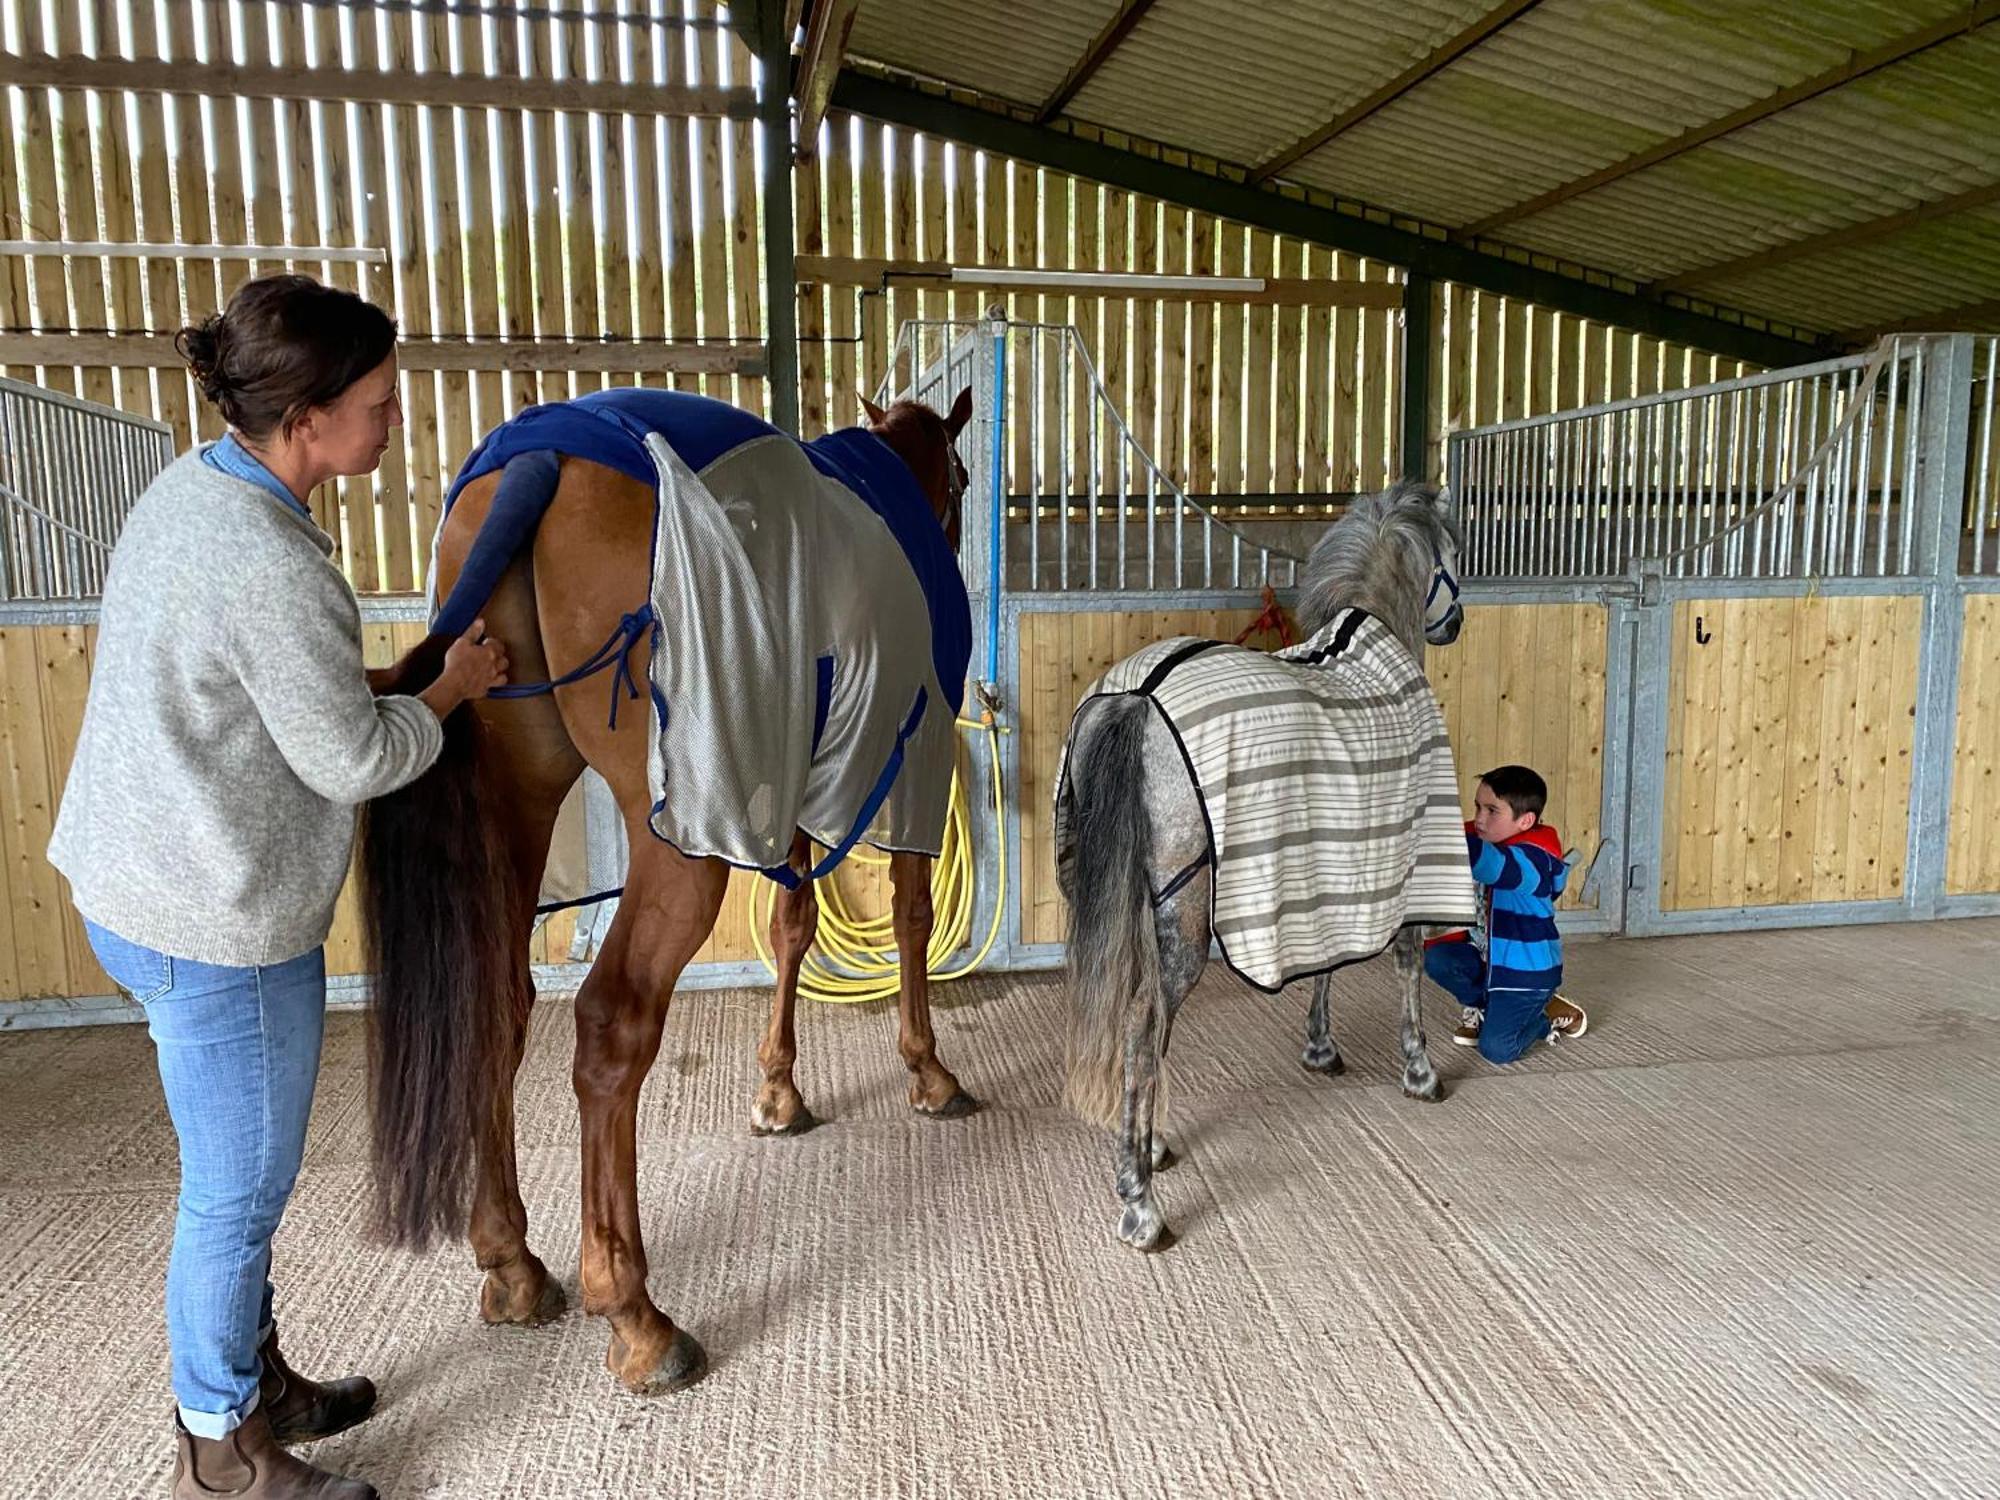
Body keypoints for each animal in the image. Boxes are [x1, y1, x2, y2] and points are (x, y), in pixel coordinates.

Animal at [368, 388, 984, 1400]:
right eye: (964, 479)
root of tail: (536, 462)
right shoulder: (906, 764)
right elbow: (908, 916)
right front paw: (929, 1072)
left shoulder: (797, 779)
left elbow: (792, 925)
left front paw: (779, 1091)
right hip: (678, 847)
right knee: (610, 1026)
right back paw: (636, 1316)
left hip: (520, 808)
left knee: (498, 1010)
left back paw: (512, 1263)